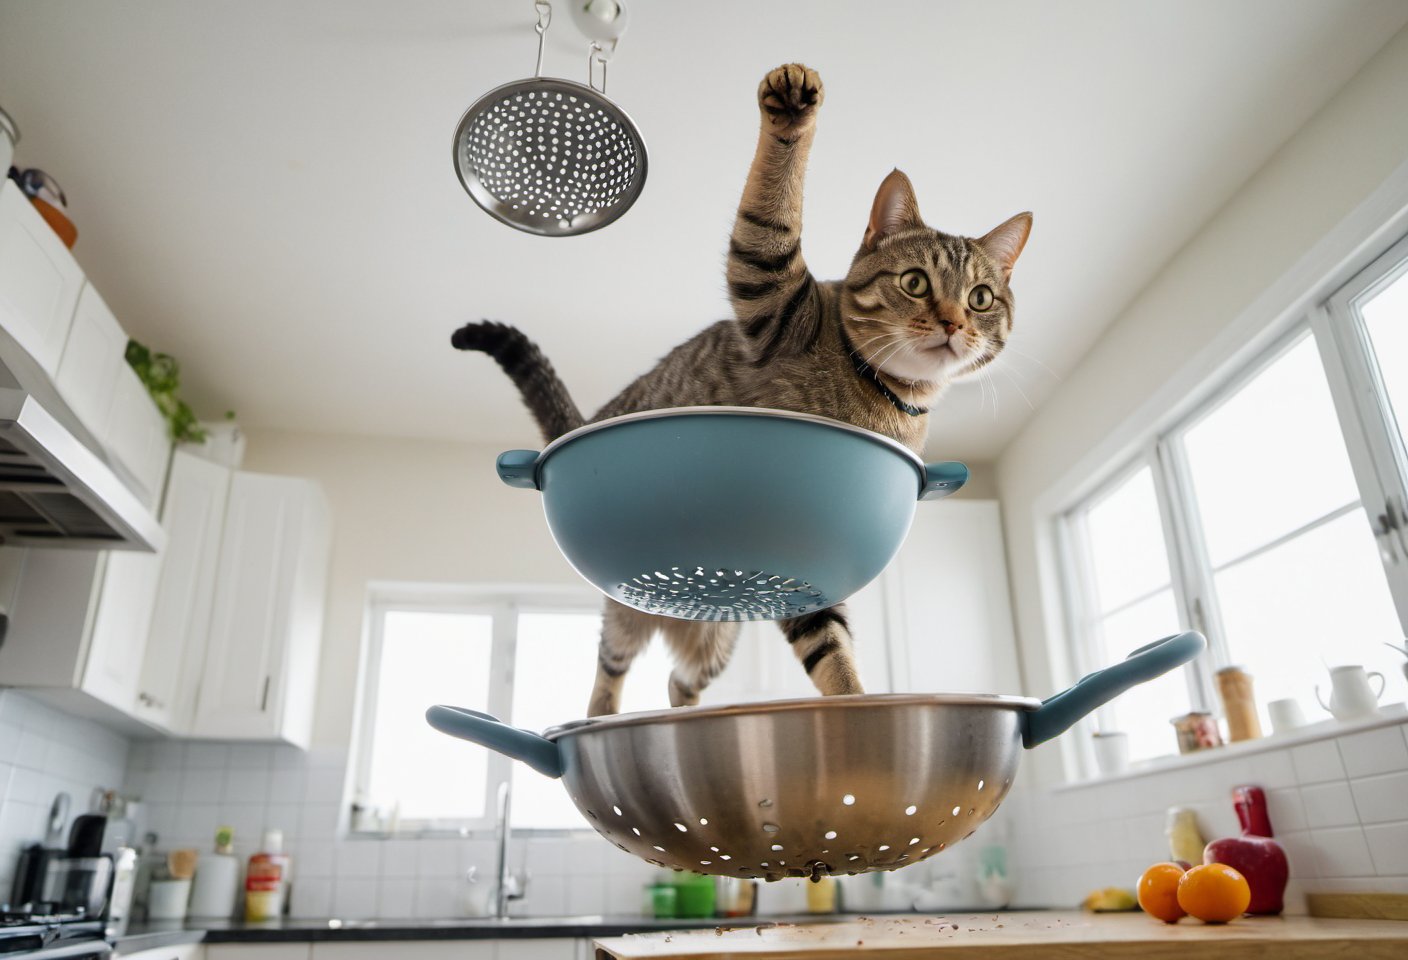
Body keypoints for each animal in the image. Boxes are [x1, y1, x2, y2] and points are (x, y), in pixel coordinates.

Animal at [456, 63, 1030, 715]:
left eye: (980, 298)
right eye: (914, 283)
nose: (954, 323)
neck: (880, 395)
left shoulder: (806, 581)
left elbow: (832, 650)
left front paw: (857, 709)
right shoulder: (768, 285)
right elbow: (772, 207)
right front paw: (793, 108)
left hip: (716, 643)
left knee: (678, 681)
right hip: (628, 622)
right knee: (607, 672)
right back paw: (597, 722)